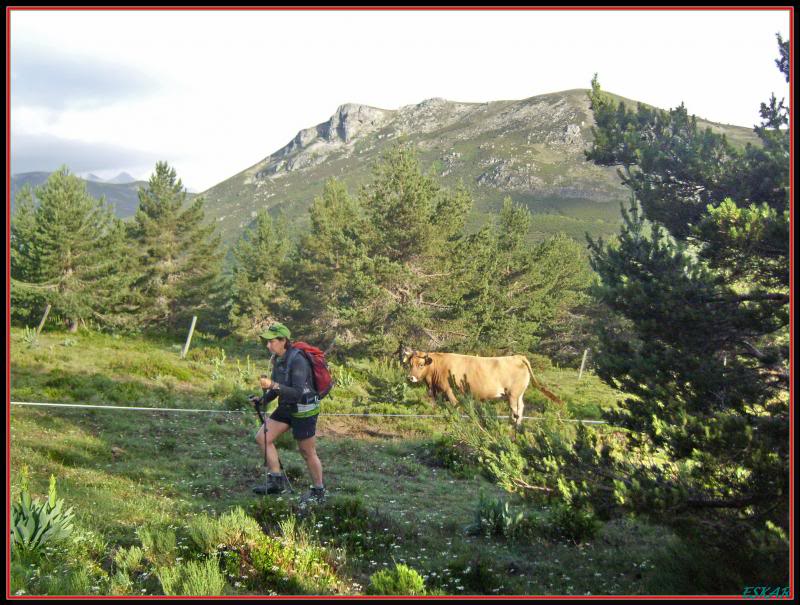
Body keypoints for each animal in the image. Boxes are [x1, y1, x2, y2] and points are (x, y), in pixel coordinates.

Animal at [404, 346, 560, 428]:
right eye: (410, 364)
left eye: (421, 365)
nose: (410, 377)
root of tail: (517, 357)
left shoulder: (450, 392)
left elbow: (455, 408)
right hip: (518, 394)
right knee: (520, 407)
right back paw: (516, 425)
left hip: (513, 394)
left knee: (515, 409)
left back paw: (512, 425)